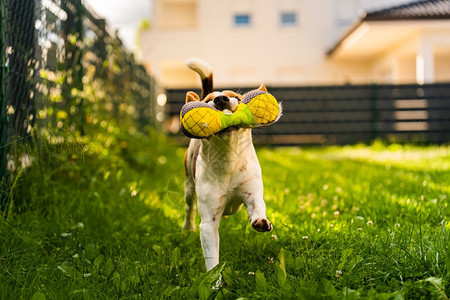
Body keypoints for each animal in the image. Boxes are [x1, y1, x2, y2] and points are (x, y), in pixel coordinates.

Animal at [181, 57, 280, 270]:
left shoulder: (252, 192)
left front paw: (260, 220)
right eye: (207, 101)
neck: (229, 159)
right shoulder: (208, 222)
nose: (220, 100)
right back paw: (187, 227)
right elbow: (212, 257)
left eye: (236, 97)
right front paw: (214, 278)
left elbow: (257, 205)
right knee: (188, 207)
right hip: (188, 186)